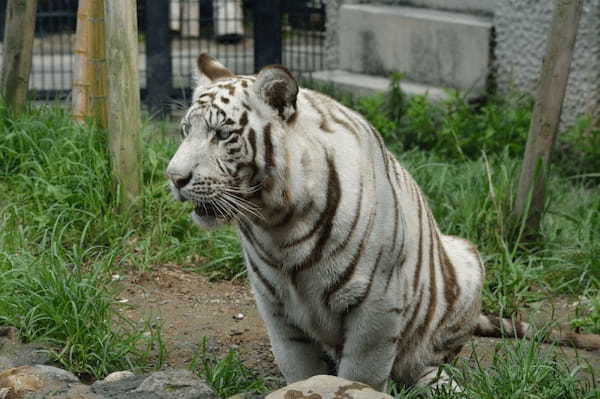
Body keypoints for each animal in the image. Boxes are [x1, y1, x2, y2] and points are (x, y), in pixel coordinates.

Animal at [166, 54, 600, 394]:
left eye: (223, 134)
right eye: (186, 131)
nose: (174, 177)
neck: (276, 223)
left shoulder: (378, 301)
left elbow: (362, 372)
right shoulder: (275, 303)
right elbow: (298, 366)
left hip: (466, 262)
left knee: (426, 359)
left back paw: (437, 381)